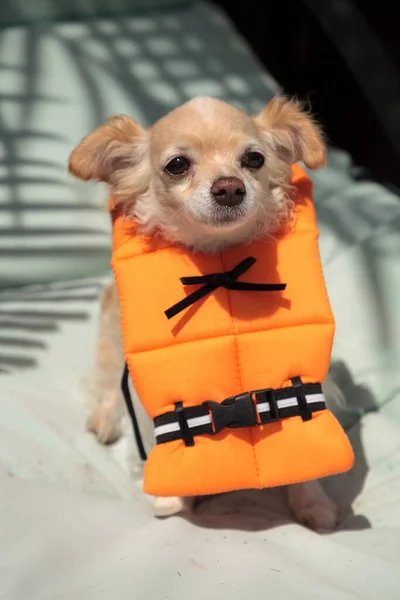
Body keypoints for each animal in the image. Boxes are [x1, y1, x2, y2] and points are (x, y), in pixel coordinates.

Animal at [69, 96, 344, 532]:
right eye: (177, 165)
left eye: (254, 159)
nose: (229, 186)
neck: (218, 256)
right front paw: (173, 500)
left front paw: (313, 503)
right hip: (113, 334)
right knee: (109, 384)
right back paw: (106, 419)